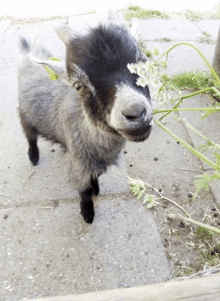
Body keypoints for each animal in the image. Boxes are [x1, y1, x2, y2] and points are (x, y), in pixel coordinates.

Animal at [18, 11, 152, 223]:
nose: (136, 112)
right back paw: (34, 157)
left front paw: (97, 189)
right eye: (78, 86)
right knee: (30, 137)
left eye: (143, 66)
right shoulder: (80, 166)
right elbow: (85, 191)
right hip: (25, 115)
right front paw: (88, 214)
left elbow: (94, 178)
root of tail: (28, 51)